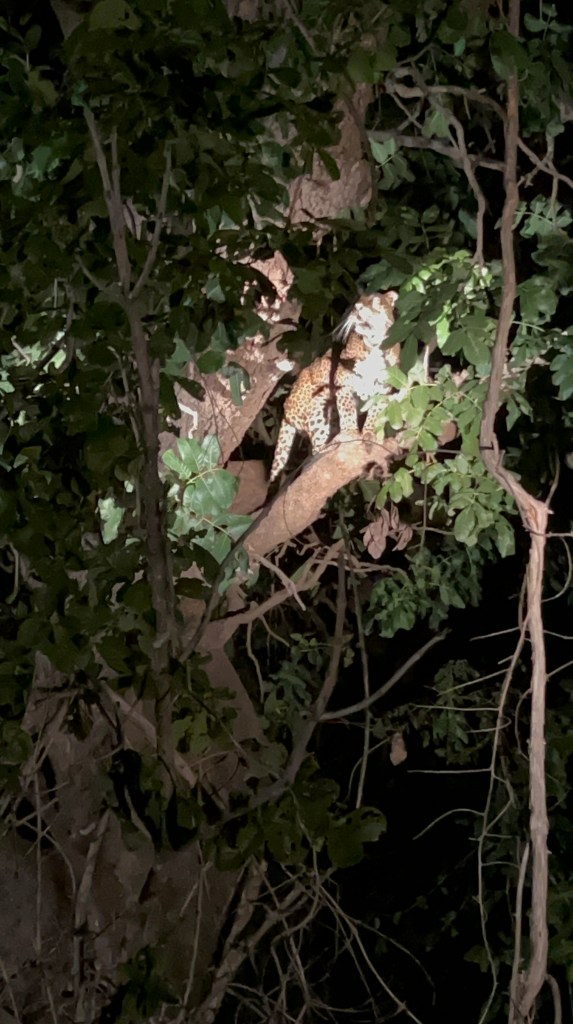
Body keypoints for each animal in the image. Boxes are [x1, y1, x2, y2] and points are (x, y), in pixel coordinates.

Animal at [269, 290, 400, 482]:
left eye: (375, 301)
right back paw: (325, 449)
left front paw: (370, 434)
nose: (357, 308)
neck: (375, 346)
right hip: (317, 408)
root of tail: (285, 410)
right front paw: (351, 432)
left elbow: (375, 413)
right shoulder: (343, 383)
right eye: (358, 301)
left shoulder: (383, 389)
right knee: (315, 449)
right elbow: (347, 411)